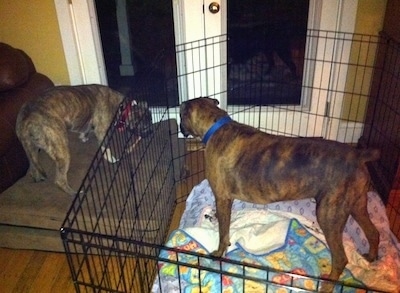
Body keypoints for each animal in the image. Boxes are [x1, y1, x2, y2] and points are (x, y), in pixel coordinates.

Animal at [16, 84, 152, 194]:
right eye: (146, 127)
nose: (151, 133)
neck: (123, 108)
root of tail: (25, 119)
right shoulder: (102, 131)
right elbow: (106, 147)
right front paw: (111, 159)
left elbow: (85, 130)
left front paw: (84, 137)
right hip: (61, 150)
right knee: (60, 180)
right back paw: (75, 193)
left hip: (32, 150)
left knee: (33, 168)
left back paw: (38, 178)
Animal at [180, 97, 382, 290]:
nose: (181, 129)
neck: (215, 125)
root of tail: (357, 155)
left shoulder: (222, 199)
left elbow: (223, 232)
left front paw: (219, 253)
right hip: (357, 205)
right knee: (374, 232)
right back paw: (371, 258)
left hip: (329, 215)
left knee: (340, 258)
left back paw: (327, 286)